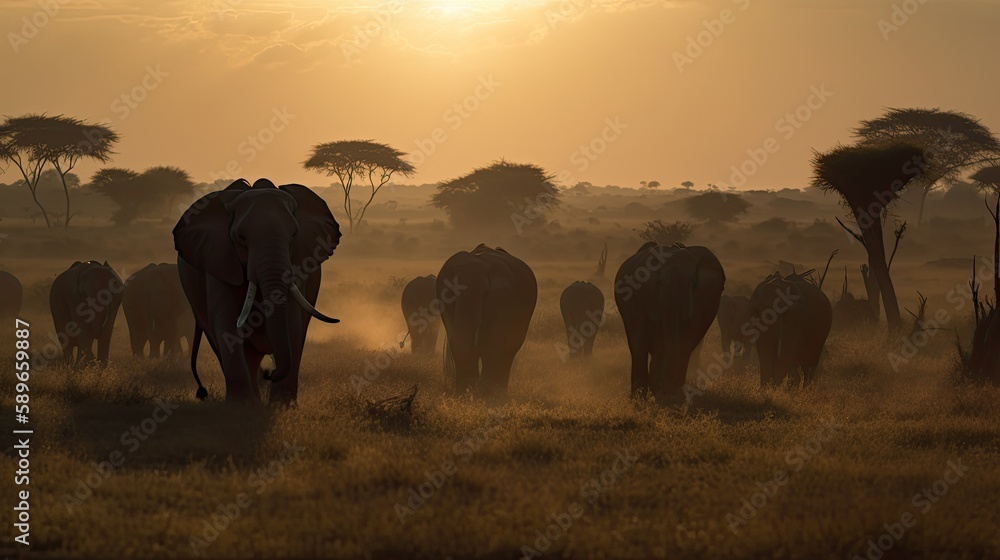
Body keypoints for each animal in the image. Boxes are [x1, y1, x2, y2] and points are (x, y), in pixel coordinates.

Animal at [172, 178, 341, 404]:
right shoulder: (219, 261)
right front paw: (242, 406)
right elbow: (226, 324)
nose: (269, 373)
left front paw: (282, 406)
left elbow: (293, 324)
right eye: (241, 237)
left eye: (294, 235)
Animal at [614, 243, 725, 400]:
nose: (667, 391)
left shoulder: (703, 298)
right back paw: (640, 396)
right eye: (659, 282)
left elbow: (686, 339)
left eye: (693, 283)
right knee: (639, 345)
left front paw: (672, 395)